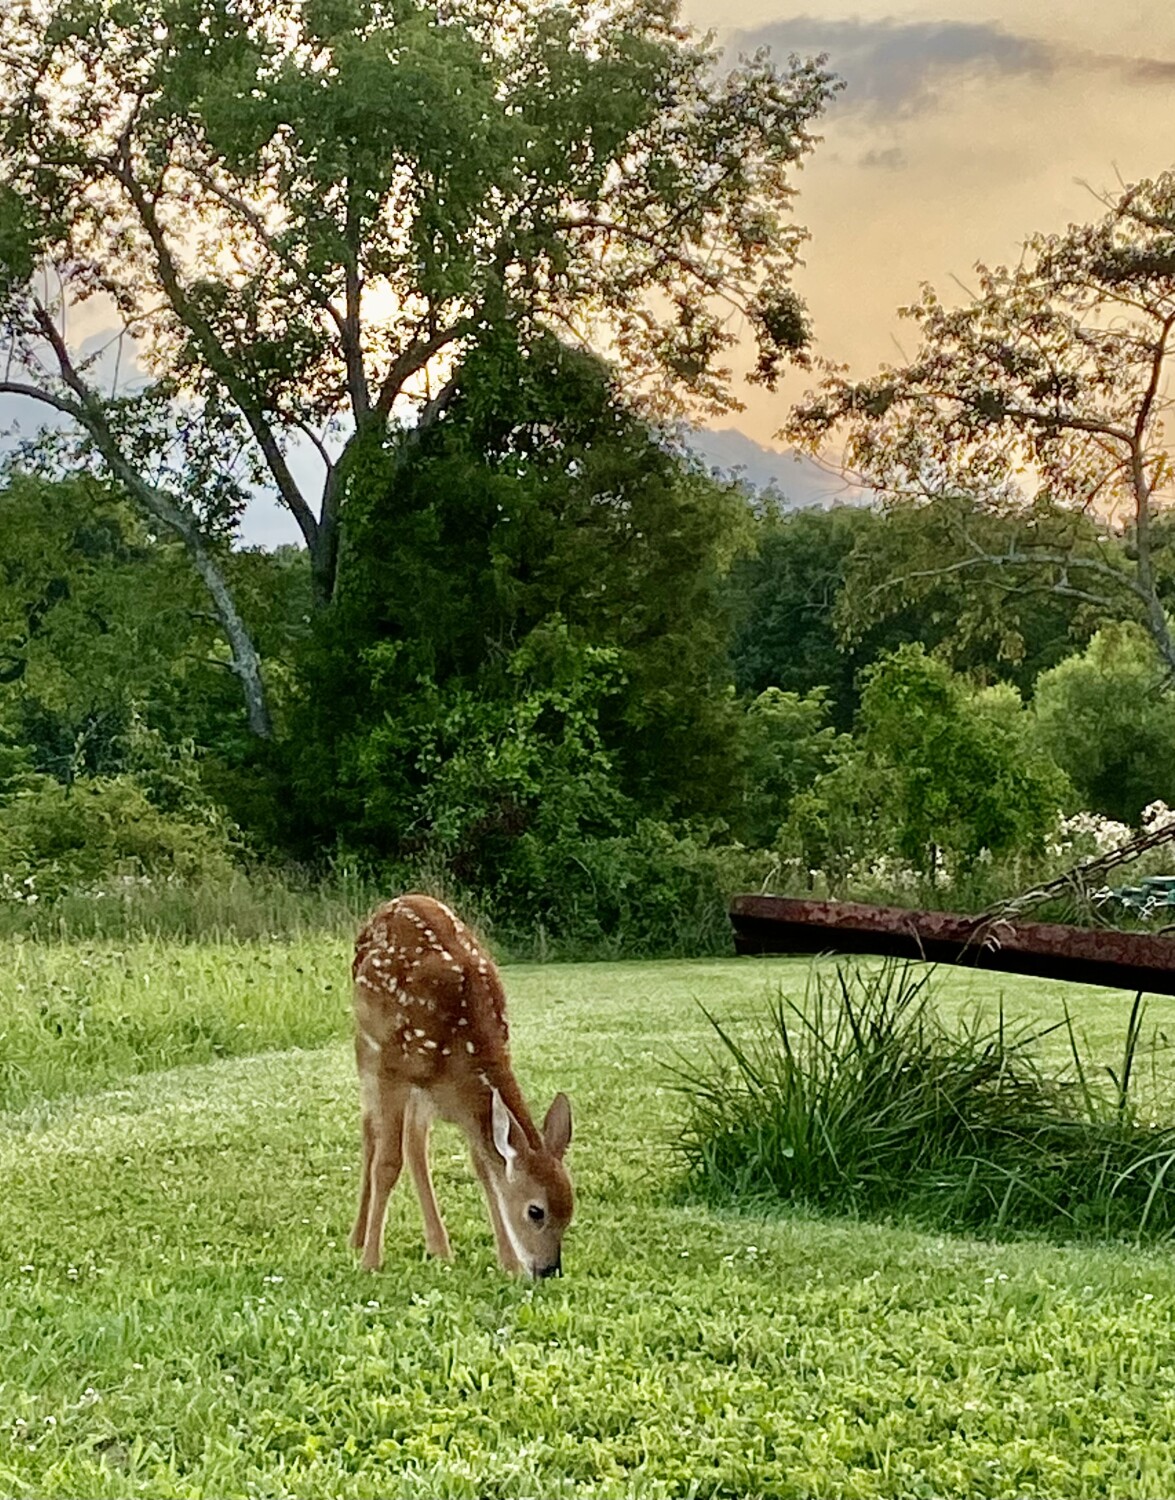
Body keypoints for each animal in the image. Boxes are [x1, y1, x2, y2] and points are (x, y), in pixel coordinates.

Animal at [350, 893, 574, 1278]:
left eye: (571, 1211)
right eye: (536, 1211)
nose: (548, 1269)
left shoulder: (455, 1095)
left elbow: (484, 1165)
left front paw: (508, 1262)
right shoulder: (393, 1066)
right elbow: (387, 1163)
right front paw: (370, 1263)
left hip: (421, 1087)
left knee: (415, 1143)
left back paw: (439, 1247)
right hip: (367, 1045)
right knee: (370, 1132)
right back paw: (359, 1239)